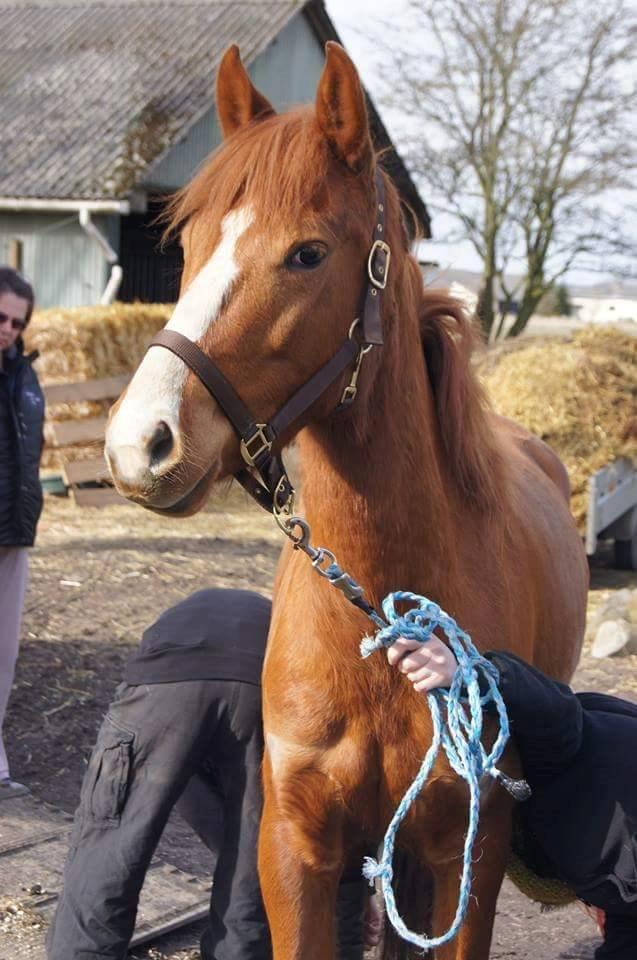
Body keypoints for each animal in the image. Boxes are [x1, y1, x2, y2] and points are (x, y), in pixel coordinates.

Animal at [104, 43, 588, 952]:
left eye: (307, 254)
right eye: (187, 241)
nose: (140, 444)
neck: (376, 620)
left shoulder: (464, 863)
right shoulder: (296, 850)